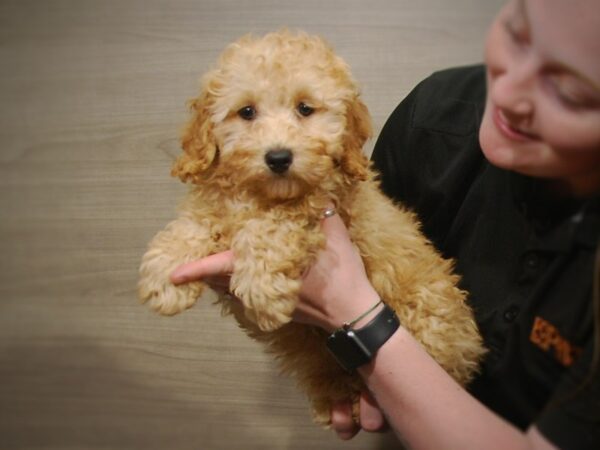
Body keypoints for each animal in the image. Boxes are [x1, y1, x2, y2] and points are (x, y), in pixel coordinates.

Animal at [138, 29, 486, 426]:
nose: (278, 157)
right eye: (246, 112)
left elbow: (274, 224)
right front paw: (165, 276)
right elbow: (193, 223)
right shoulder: (216, 204)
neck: (262, 194)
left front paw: (262, 287)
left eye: (305, 109)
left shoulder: (323, 203)